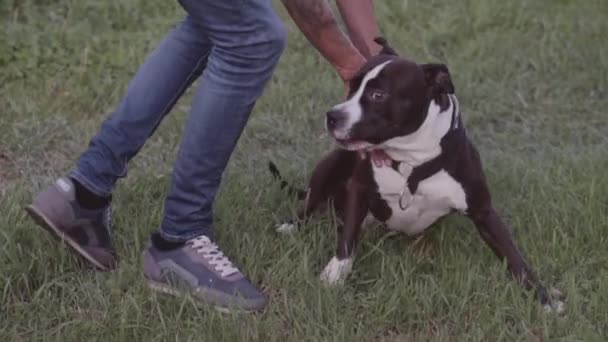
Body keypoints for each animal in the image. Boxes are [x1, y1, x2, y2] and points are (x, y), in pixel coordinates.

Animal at [270, 38, 564, 312]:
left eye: (378, 95)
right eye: (352, 86)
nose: (332, 116)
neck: (411, 162)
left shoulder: (483, 210)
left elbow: (514, 256)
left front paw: (544, 300)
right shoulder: (360, 189)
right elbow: (347, 240)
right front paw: (333, 276)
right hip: (329, 166)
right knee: (310, 201)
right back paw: (291, 225)